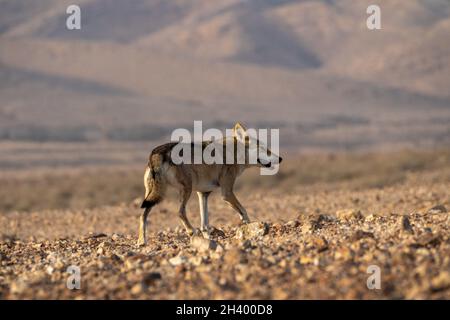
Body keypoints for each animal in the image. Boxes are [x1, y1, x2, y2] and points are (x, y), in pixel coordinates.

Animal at [136, 122, 282, 245]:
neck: (233, 153)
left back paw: (141, 241)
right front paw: (250, 229)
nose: (280, 158)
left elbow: (205, 223)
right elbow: (244, 212)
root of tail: (156, 152)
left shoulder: (203, 193)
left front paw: (208, 239)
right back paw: (191, 231)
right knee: (180, 212)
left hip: (153, 196)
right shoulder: (227, 193)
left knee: (142, 216)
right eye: (265, 149)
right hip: (185, 190)